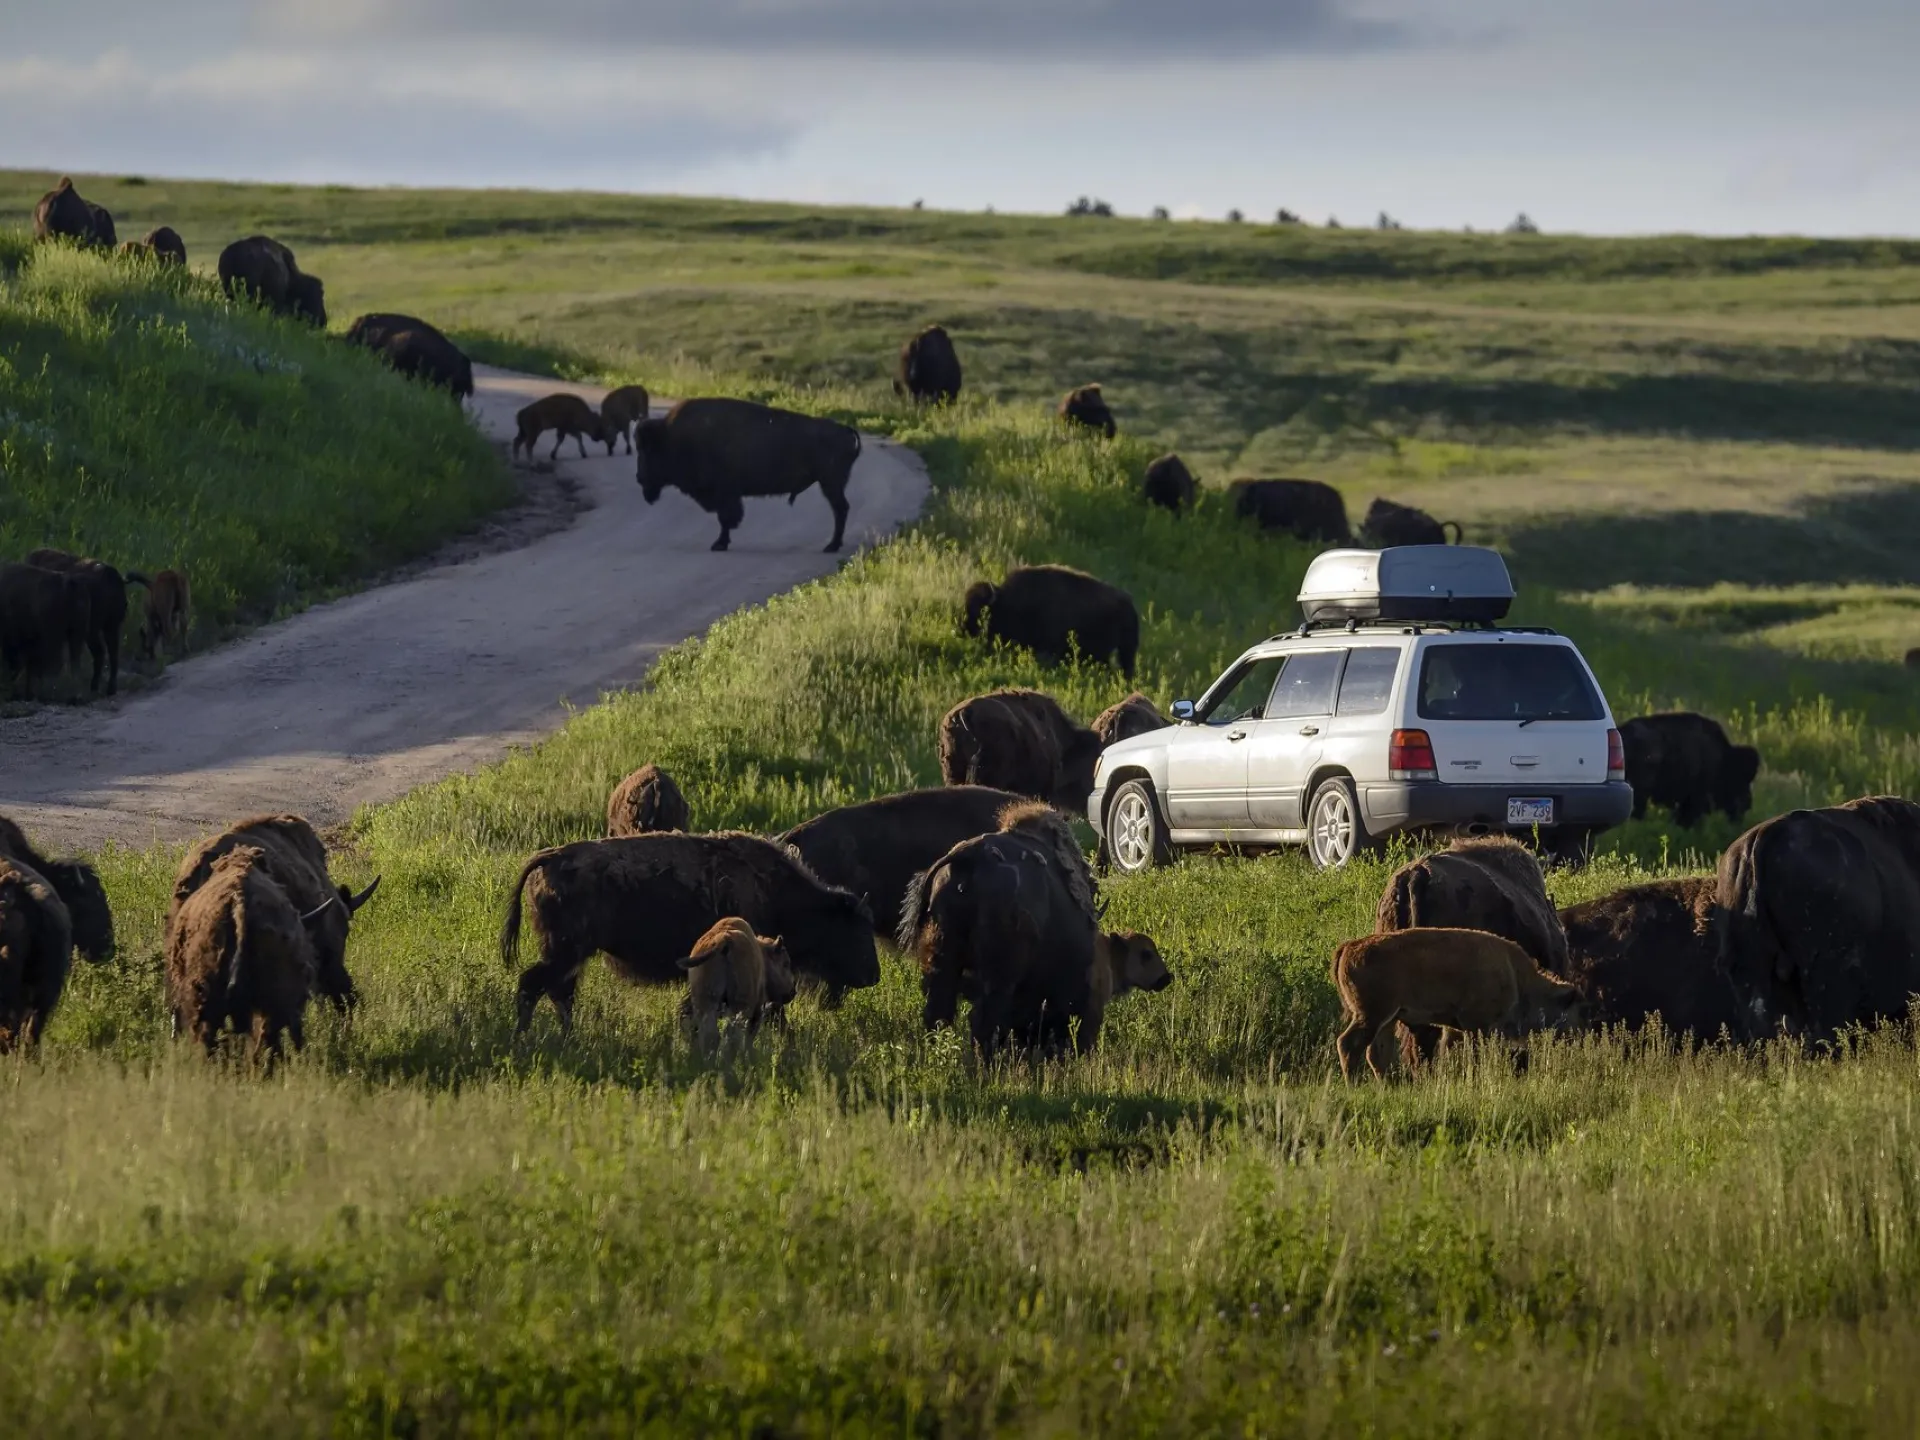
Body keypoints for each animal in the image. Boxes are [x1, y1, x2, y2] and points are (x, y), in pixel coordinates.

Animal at [500, 831, 879, 1032]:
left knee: (558, 993)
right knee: (534, 985)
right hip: (565, 952)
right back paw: (527, 1036)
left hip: (569, 956)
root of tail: (551, 857)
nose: (873, 975)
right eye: (853, 930)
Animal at [636, 398, 863, 553]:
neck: (672, 437)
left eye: (647, 450)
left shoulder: (725, 495)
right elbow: (726, 519)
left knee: (840, 509)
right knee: (841, 509)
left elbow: (726, 519)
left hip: (830, 484)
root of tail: (846, 430)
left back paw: (831, 546)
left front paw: (719, 544)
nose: (639, 477)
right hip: (831, 484)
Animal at [899, 801, 1102, 1056]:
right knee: (983, 1018)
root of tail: (971, 855)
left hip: (941, 953)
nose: (1081, 1048)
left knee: (939, 1010)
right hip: (997, 975)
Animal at [1331, 927, 1583, 1081]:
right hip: (1372, 1015)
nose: (1580, 1036)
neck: (1516, 976)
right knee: (1347, 1045)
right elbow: (1475, 1057)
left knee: (1376, 1054)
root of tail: (1349, 946)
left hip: (1387, 1020)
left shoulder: (1454, 1028)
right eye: (1575, 1009)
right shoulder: (1476, 1025)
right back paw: (1353, 1085)